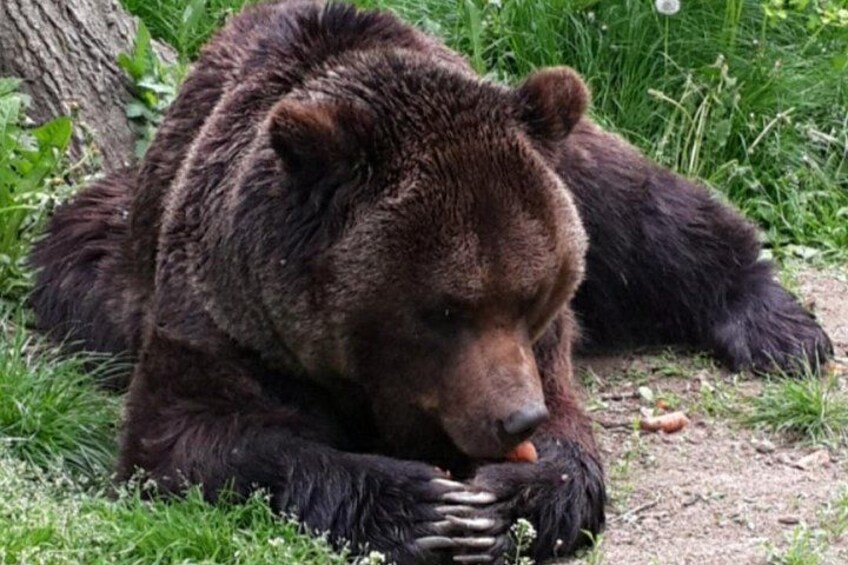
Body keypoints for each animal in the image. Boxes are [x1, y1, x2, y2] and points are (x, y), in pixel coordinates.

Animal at [29, 1, 832, 563]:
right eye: (444, 309)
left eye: (531, 295)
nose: (517, 420)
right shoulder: (226, 316)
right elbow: (191, 436)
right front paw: (425, 507)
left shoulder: (544, 344)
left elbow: (572, 445)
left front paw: (512, 499)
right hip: (104, 268)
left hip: (567, 155)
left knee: (643, 208)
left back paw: (781, 328)